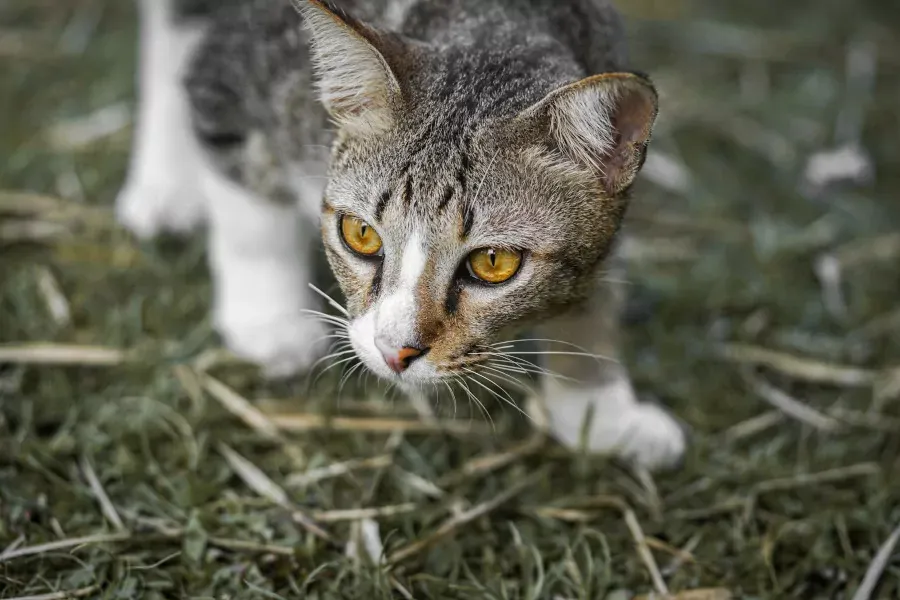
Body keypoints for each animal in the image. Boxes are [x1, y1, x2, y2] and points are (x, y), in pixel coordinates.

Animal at [116, 0, 684, 468]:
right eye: (360, 234)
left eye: (494, 263)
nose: (395, 352)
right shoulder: (232, 75)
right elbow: (251, 218)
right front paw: (270, 325)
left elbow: (596, 288)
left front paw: (600, 412)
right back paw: (165, 186)